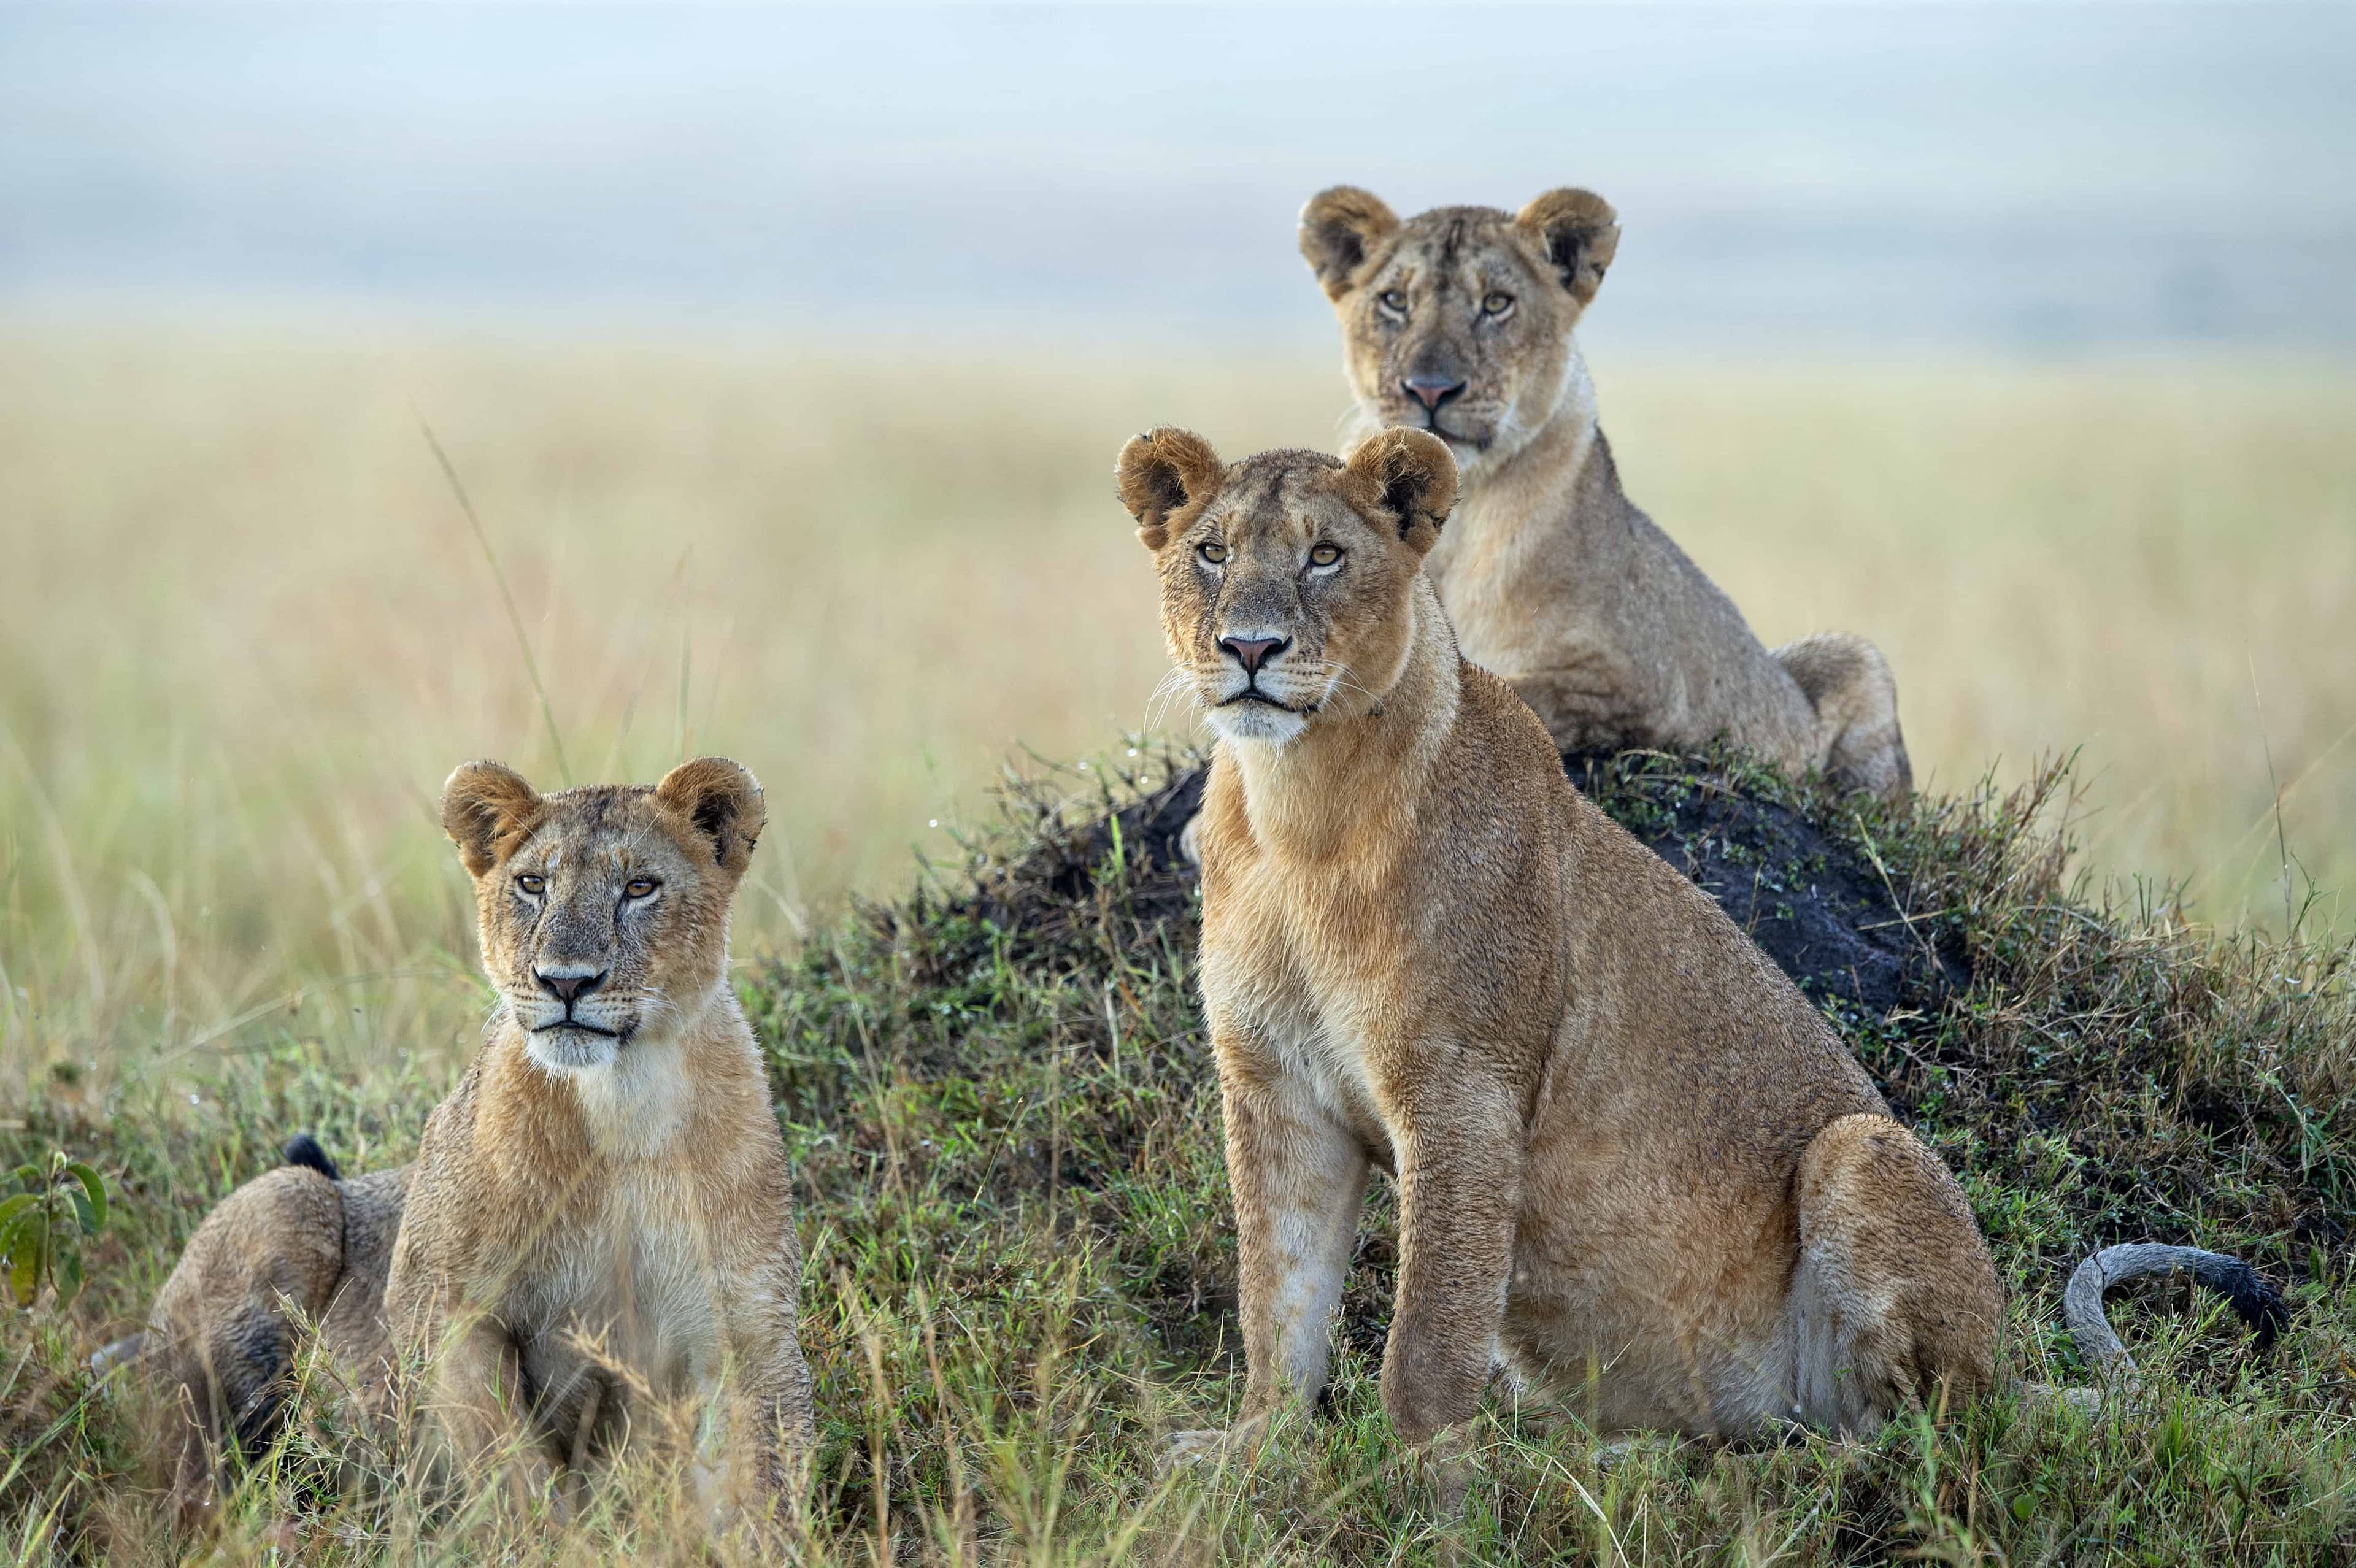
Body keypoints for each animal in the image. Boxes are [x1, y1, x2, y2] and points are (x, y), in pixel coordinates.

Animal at [383, 756, 814, 1517]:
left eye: (639, 887)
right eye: (533, 884)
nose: (565, 983)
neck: (622, 1103)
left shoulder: (749, 1329)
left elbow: (762, 1484)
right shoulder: (440, 1306)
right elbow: (510, 1471)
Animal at [1113, 425, 2281, 1470]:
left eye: (1325, 554)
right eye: (1212, 551)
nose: (1249, 649)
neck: (1303, 810)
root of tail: (2010, 1368)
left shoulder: (1463, 1091)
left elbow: (1427, 1336)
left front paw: (1428, 1490)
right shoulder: (1276, 1091)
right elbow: (1280, 1299)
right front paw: (1252, 1452)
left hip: (1864, 1153)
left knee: (1923, 1435)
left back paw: (1788, 1470)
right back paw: (1630, 1458)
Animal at [1297, 185, 1911, 800]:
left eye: (1497, 303)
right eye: (1394, 301)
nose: (1429, 389)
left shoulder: (1644, 685)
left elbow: (1513, 693)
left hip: (1858, 661)